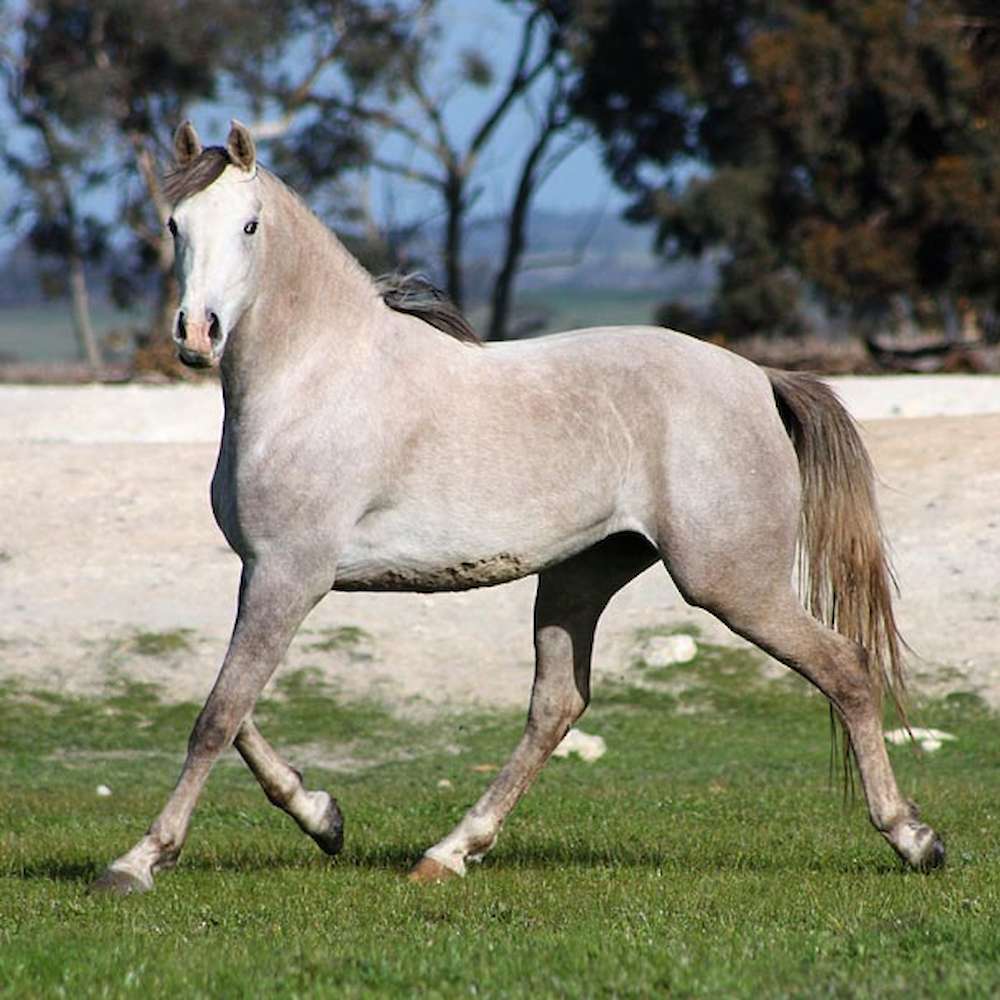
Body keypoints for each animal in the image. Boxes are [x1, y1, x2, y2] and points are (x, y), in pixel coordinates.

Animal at [90, 121, 943, 894]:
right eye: (174, 225)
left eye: (249, 225)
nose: (196, 334)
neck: (316, 378)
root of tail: (760, 378)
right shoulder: (265, 576)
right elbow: (233, 709)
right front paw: (323, 817)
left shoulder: (290, 576)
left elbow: (217, 715)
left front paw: (137, 862)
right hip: (583, 574)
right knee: (557, 707)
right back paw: (447, 853)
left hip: (731, 583)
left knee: (847, 668)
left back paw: (914, 838)